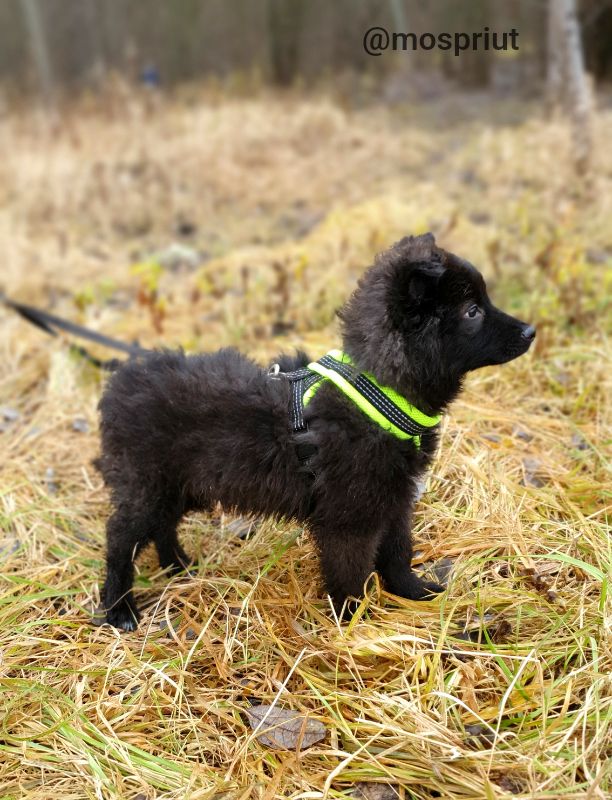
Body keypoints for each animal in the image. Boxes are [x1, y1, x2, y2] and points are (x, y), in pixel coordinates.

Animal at [98, 233, 532, 632]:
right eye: (472, 311)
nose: (530, 331)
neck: (381, 389)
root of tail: (122, 380)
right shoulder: (349, 516)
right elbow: (350, 573)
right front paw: (354, 625)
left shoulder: (394, 499)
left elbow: (398, 553)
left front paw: (414, 592)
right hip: (148, 484)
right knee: (121, 538)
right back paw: (119, 608)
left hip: (181, 484)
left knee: (163, 526)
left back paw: (179, 566)